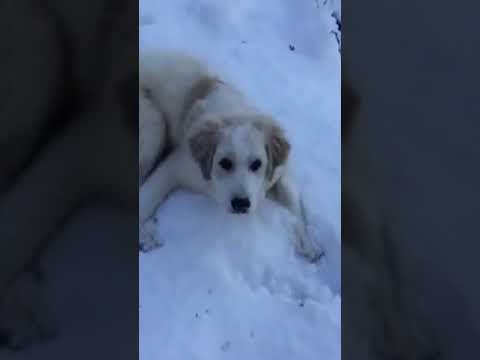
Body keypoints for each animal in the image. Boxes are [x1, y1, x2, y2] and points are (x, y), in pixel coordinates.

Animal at [138, 48, 322, 262]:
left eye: (256, 164)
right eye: (224, 163)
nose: (241, 204)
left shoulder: (280, 169)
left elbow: (293, 202)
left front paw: (308, 242)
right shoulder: (178, 165)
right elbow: (146, 196)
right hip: (153, 123)